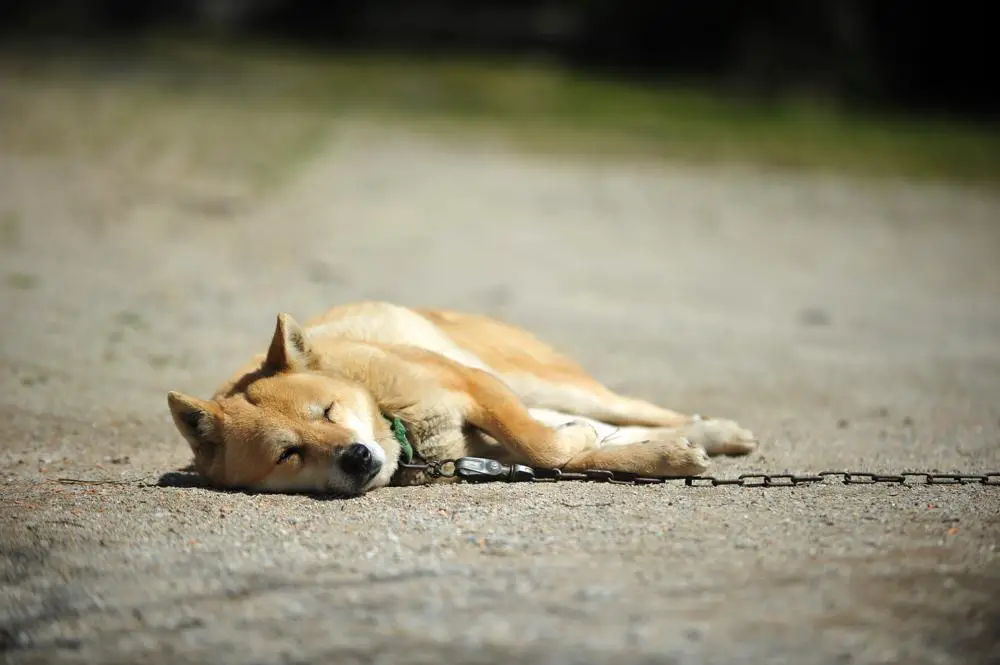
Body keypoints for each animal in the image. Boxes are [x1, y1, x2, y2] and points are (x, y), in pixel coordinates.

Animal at [166, 300, 756, 492]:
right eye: (288, 454)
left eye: (328, 411)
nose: (355, 456)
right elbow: (571, 454)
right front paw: (665, 457)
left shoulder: (477, 388)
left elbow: (544, 444)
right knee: (623, 427)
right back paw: (689, 442)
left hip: (545, 382)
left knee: (640, 412)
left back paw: (720, 431)